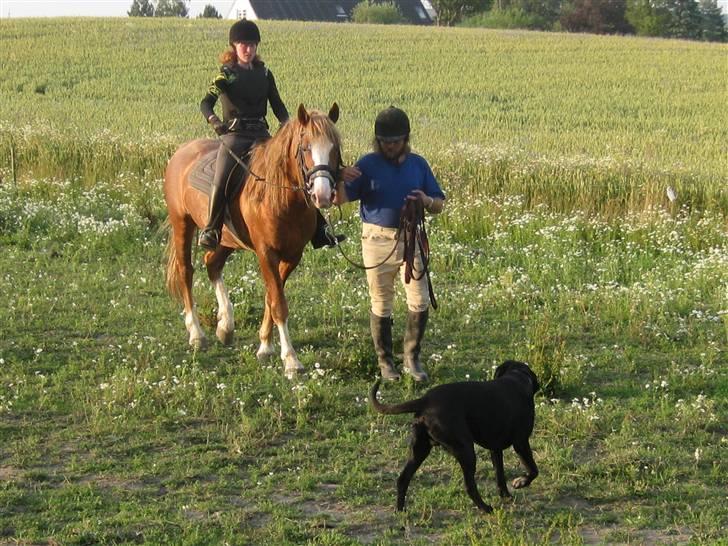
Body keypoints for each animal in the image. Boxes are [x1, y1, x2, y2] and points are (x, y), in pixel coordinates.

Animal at [166, 103, 342, 378]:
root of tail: (183, 151)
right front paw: (291, 360)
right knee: (186, 271)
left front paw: (265, 347)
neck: (278, 197)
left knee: (212, 263)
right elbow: (278, 303)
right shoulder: (266, 253)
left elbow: (272, 297)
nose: (322, 195)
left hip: (226, 240)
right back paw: (196, 334)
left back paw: (225, 325)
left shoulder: (292, 255)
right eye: (305, 148)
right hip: (182, 223)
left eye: (334, 149)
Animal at [372, 356, 536, 510]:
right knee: (469, 486)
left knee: (402, 479)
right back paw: (486, 508)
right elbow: (533, 469)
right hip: (466, 451)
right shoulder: (521, 443)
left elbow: (500, 475)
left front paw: (506, 496)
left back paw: (400, 511)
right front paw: (521, 482)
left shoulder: (495, 448)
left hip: (419, 449)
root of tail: (424, 400)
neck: (518, 377)